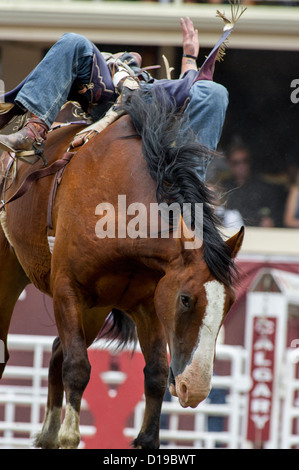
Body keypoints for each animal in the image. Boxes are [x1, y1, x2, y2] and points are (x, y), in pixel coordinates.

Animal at [0, 91, 244, 448]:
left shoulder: (148, 305)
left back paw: (47, 433)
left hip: (95, 310)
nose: (196, 388)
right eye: (185, 299)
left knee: (57, 351)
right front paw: (69, 434)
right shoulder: (67, 290)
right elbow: (78, 367)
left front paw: (146, 437)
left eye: (230, 303)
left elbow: (156, 373)